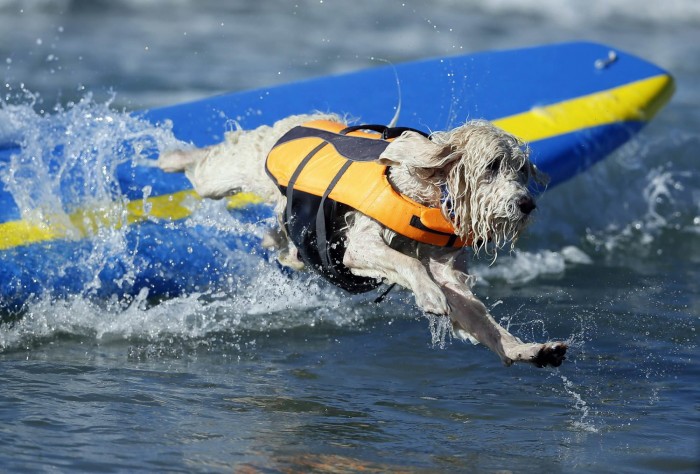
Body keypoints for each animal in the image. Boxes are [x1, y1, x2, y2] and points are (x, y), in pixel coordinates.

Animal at [159, 114, 568, 366]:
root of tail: (299, 121)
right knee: (207, 164)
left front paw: (528, 350)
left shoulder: (449, 272)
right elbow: (408, 262)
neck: (429, 195)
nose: (527, 204)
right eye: (492, 166)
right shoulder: (360, 245)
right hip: (232, 172)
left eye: (522, 169)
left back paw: (282, 247)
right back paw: (171, 155)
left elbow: (482, 319)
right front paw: (430, 296)